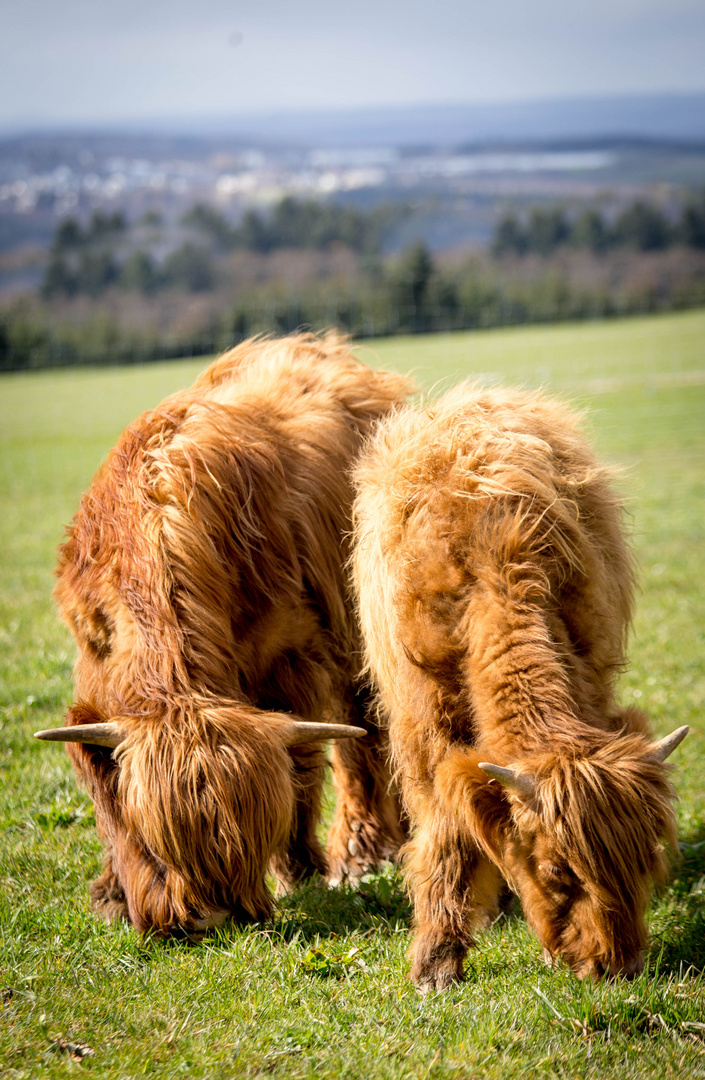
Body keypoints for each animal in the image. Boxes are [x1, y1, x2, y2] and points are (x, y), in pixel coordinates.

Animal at [37, 332, 412, 933]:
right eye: (155, 844)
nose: (211, 918)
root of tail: (320, 347)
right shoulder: (95, 667)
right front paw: (112, 892)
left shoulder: (291, 655)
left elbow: (302, 767)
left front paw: (299, 870)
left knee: (363, 732)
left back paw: (361, 853)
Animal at [351, 384, 686, 989]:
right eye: (557, 870)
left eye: (644, 857)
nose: (620, 967)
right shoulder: (426, 728)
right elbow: (447, 833)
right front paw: (437, 961)